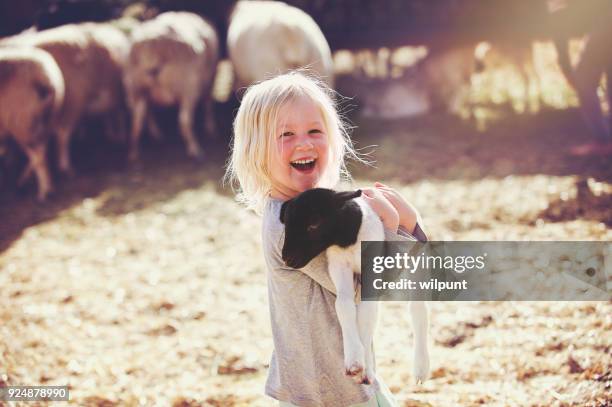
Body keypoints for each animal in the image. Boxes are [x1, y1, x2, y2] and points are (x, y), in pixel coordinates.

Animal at [0, 46, 64, 201]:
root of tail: (44, 77)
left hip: (22, 121)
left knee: (38, 156)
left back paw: (41, 192)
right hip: (44, 119)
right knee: (41, 151)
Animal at [123, 11, 219, 162]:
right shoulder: (210, 79)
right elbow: (208, 103)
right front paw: (210, 127)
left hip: (136, 88)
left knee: (137, 121)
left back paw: (134, 152)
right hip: (187, 86)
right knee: (184, 121)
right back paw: (195, 150)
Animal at [280, 188, 428, 386]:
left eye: (314, 223)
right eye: (285, 224)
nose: (286, 257)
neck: (349, 240)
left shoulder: (374, 264)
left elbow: (367, 313)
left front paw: (365, 368)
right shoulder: (338, 264)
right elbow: (343, 305)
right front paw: (355, 361)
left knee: (419, 310)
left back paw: (421, 368)